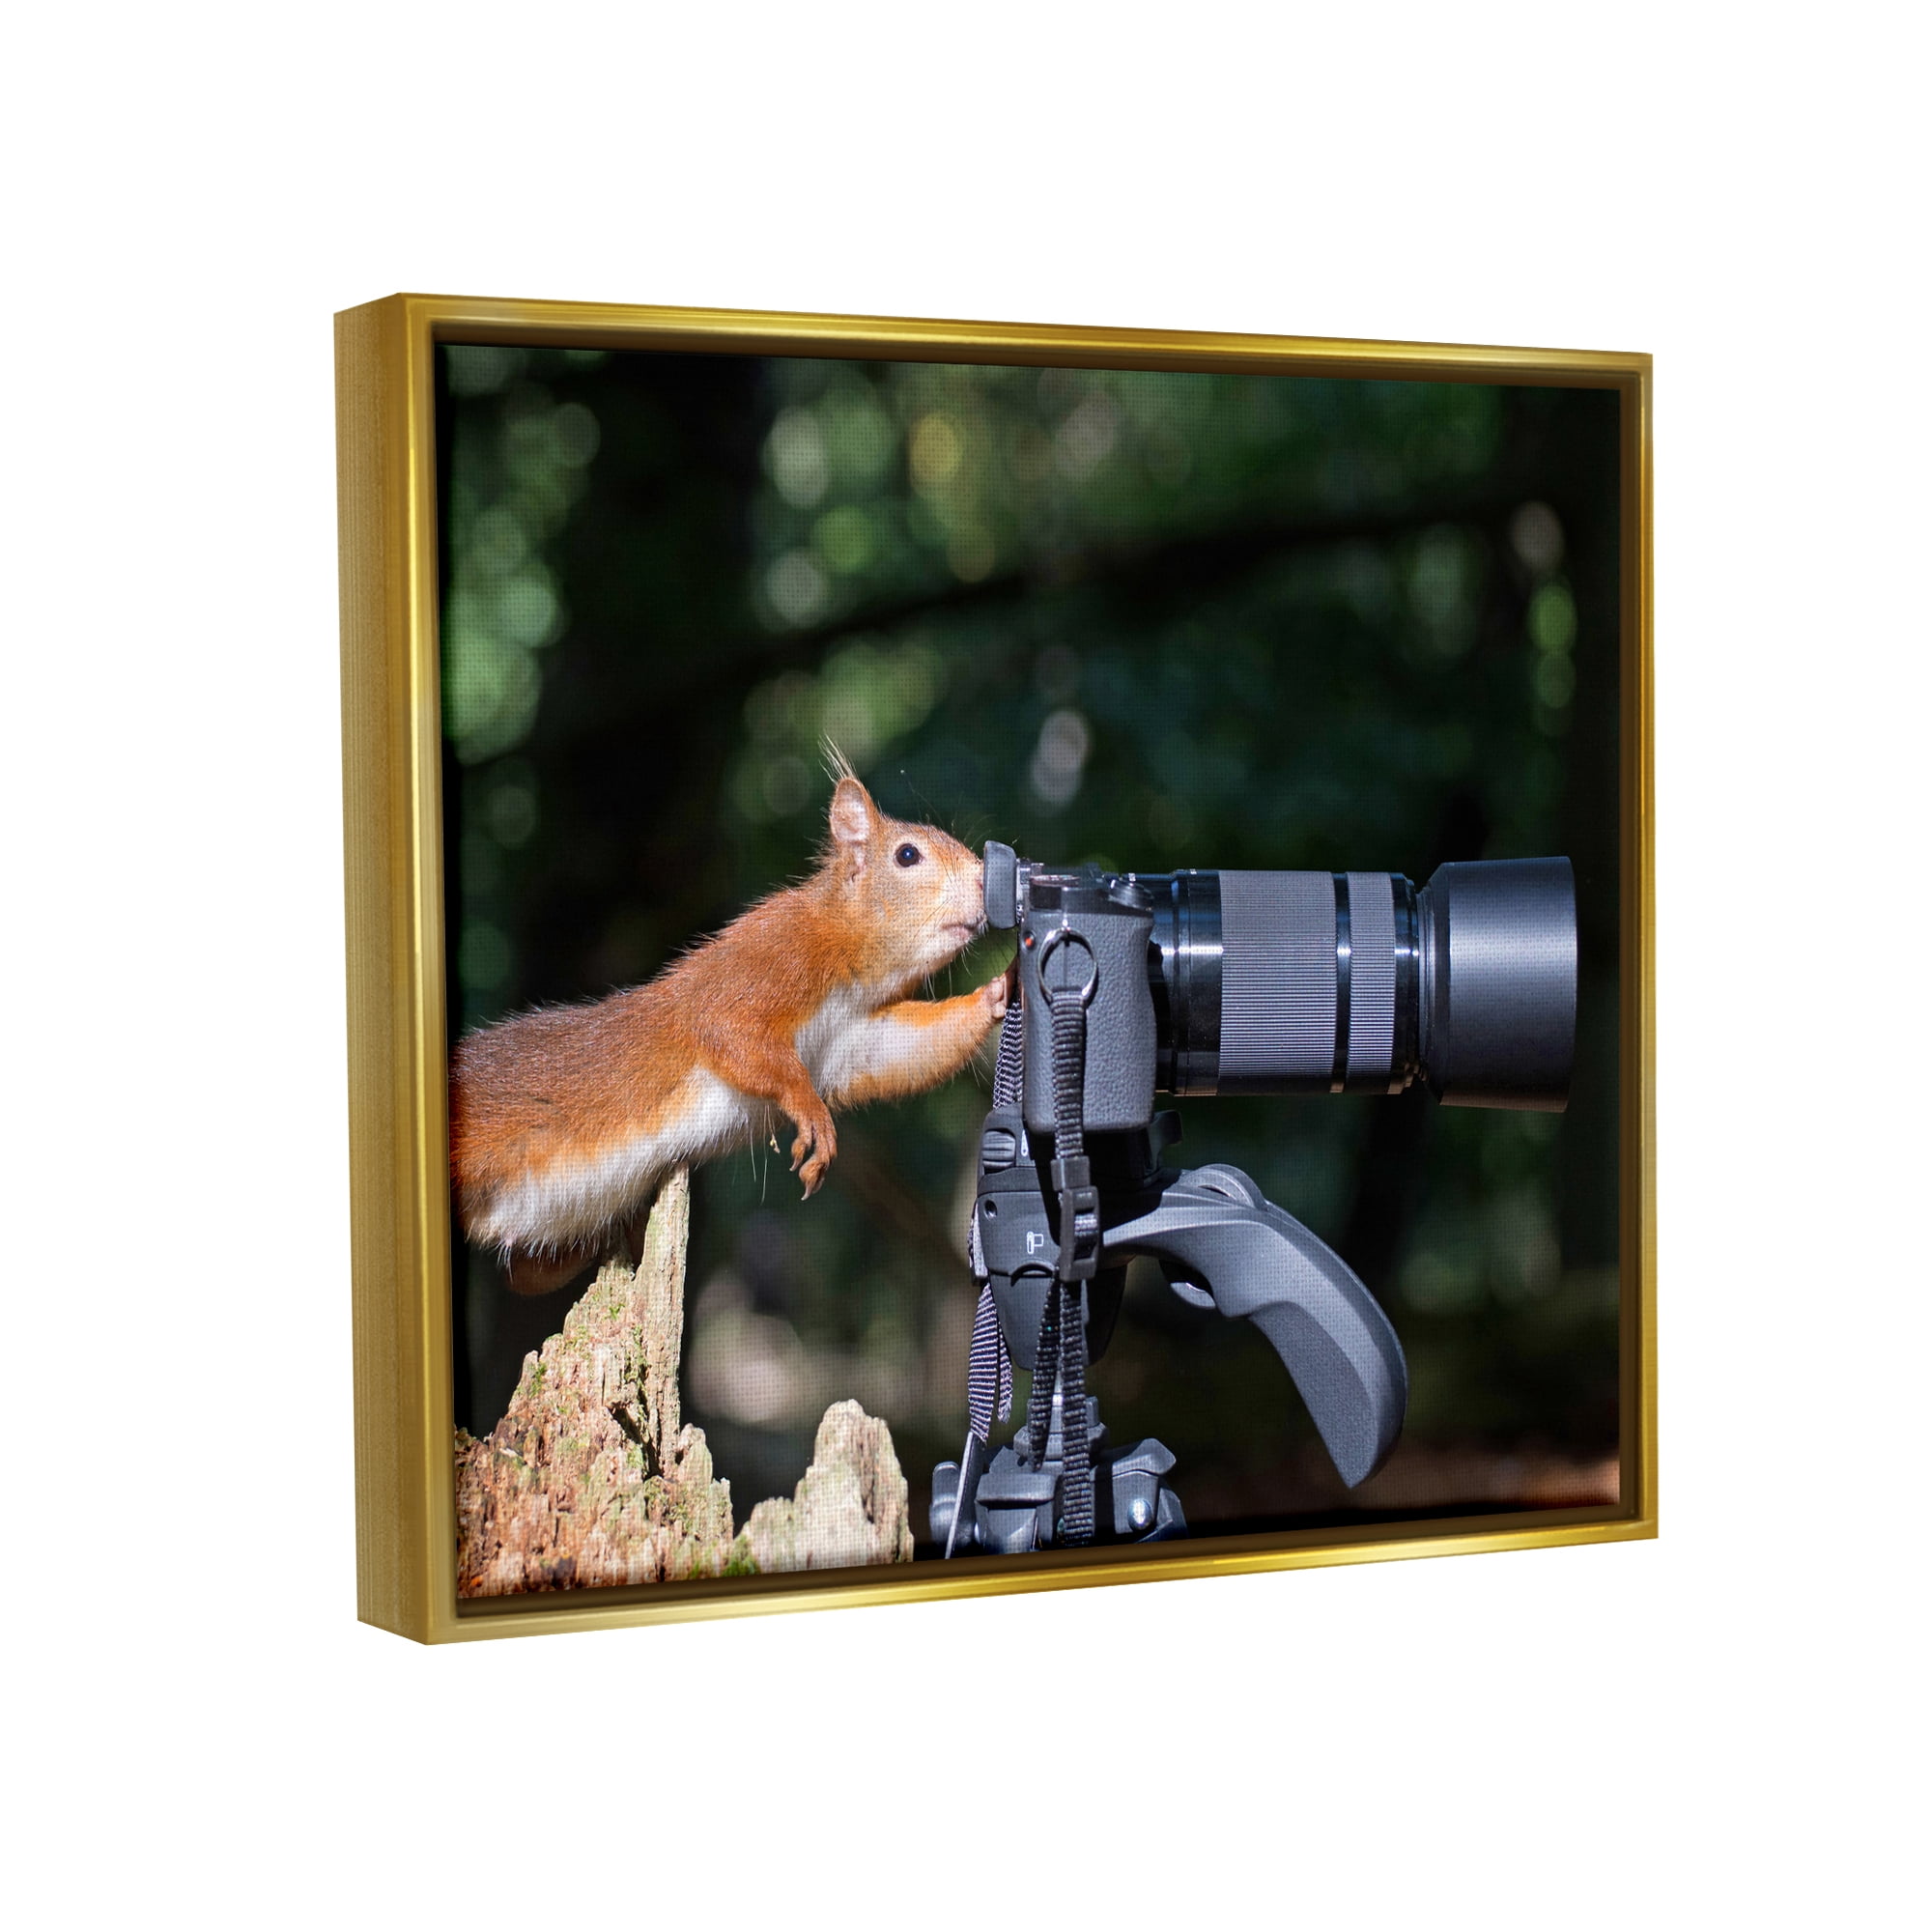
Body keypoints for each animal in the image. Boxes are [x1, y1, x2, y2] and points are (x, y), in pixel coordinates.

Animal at [450, 762, 1013, 1297]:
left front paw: (1002, 988)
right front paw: (811, 1113)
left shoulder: (850, 1041)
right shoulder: (763, 961)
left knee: (526, 1275)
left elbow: (904, 1050)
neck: (850, 961)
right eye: (907, 855)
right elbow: (729, 1033)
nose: (986, 882)